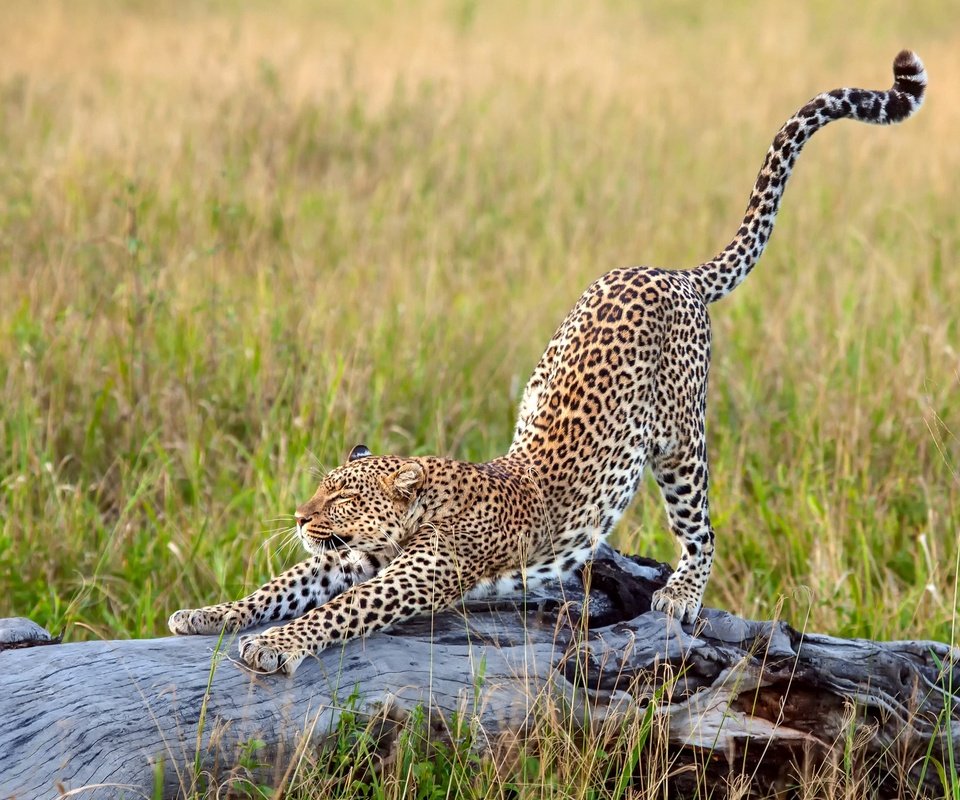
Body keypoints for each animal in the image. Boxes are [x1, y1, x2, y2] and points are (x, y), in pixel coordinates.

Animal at [169, 51, 928, 676]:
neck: (424, 507)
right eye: (322, 490)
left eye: (343, 498)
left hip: (680, 445)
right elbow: (281, 586)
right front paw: (209, 613)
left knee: (703, 530)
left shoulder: (415, 575)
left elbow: (336, 611)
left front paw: (276, 644)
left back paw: (681, 594)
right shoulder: (354, 558)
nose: (299, 517)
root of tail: (670, 271)